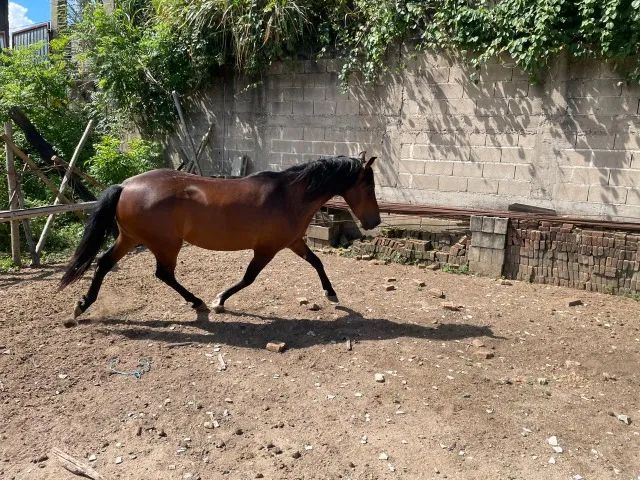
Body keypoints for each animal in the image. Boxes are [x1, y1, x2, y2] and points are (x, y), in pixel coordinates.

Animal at [59, 152, 381, 321]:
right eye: (368, 187)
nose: (374, 221)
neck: (289, 196)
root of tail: (125, 186)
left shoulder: (293, 242)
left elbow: (317, 262)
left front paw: (332, 294)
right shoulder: (267, 249)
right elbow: (248, 278)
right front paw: (219, 300)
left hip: (129, 238)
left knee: (103, 264)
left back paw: (82, 305)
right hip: (165, 244)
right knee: (163, 274)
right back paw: (199, 302)